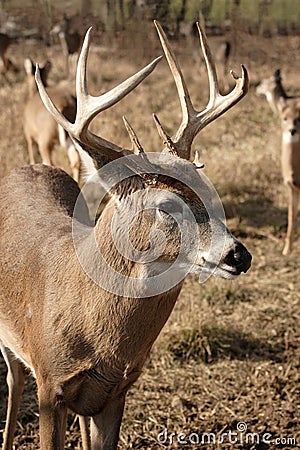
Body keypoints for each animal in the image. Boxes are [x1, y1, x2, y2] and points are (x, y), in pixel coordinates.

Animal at [0, 21, 251, 450]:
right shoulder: (50, 383)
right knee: (14, 378)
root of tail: (26, 167)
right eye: (167, 205)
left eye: (210, 190)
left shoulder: (117, 391)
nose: (238, 255)